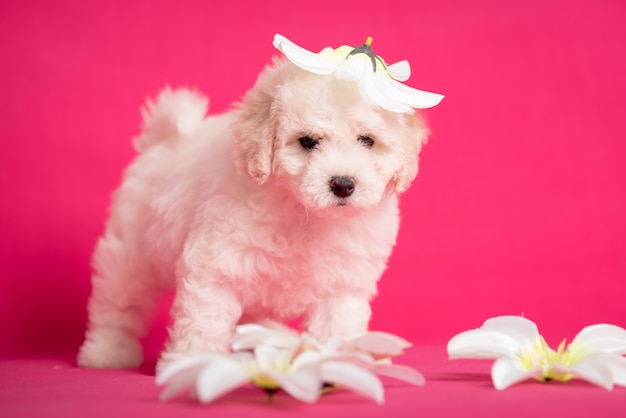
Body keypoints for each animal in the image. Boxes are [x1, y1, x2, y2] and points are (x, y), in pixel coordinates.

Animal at [77, 58, 428, 370]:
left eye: (367, 140)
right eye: (308, 142)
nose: (343, 184)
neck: (303, 211)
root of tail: (162, 140)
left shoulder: (343, 282)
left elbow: (337, 324)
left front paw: (340, 366)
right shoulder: (215, 263)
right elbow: (205, 320)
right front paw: (194, 366)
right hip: (131, 252)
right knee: (118, 306)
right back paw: (107, 352)